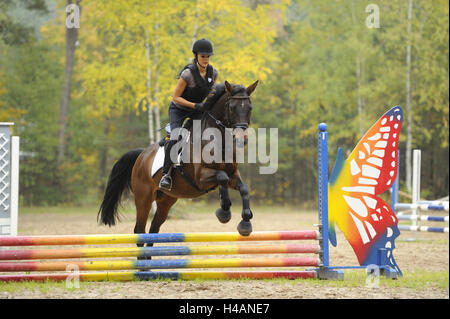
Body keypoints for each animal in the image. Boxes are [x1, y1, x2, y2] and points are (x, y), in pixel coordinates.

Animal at [98, 80, 260, 245]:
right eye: (232, 108)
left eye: (250, 107)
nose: (242, 139)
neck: (218, 141)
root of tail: (142, 155)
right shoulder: (201, 178)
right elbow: (222, 177)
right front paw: (224, 212)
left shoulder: (233, 175)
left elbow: (244, 188)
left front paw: (245, 222)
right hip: (143, 198)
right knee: (139, 231)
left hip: (166, 200)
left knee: (153, 229)